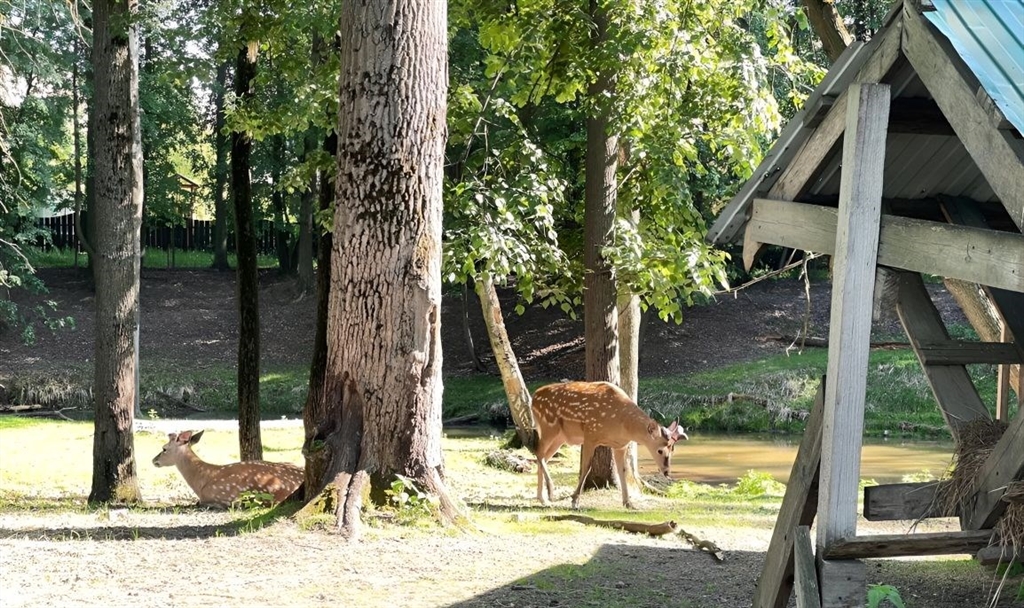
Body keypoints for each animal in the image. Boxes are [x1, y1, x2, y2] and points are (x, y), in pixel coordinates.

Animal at [530, 381, 687, 510]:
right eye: (660, 450)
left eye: (672, 450)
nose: (667, 471)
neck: (623, 425)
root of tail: (533, 398)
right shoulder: (590, 435)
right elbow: (586, 468)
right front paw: (575, 501)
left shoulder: (620, 445)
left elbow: (622, 470)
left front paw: (629, 503)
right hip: (549, 426)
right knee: (538, 452)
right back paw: (550, 491)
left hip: (560, 437)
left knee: (543, 457)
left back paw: (542, 498)